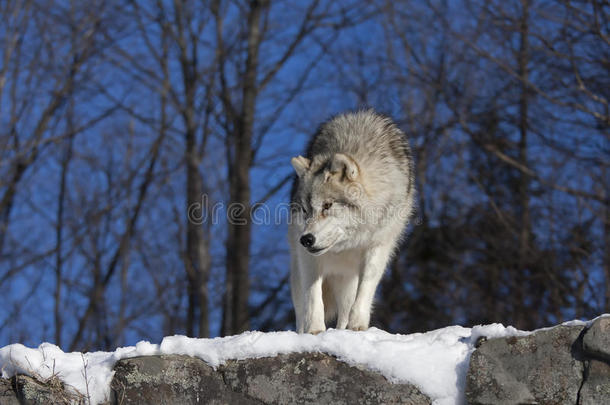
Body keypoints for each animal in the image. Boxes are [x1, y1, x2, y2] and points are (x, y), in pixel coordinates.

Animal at [288, 109, 414, 332]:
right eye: (305, 209)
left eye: (327, 205)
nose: (306, 239)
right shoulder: (307, 258)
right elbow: (313, 295)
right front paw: (314, 331)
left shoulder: (378, 245)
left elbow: (366, 288)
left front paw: (357, 326)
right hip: (298, 273)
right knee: (301, 309)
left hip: (347, 281)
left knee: (345, 309)